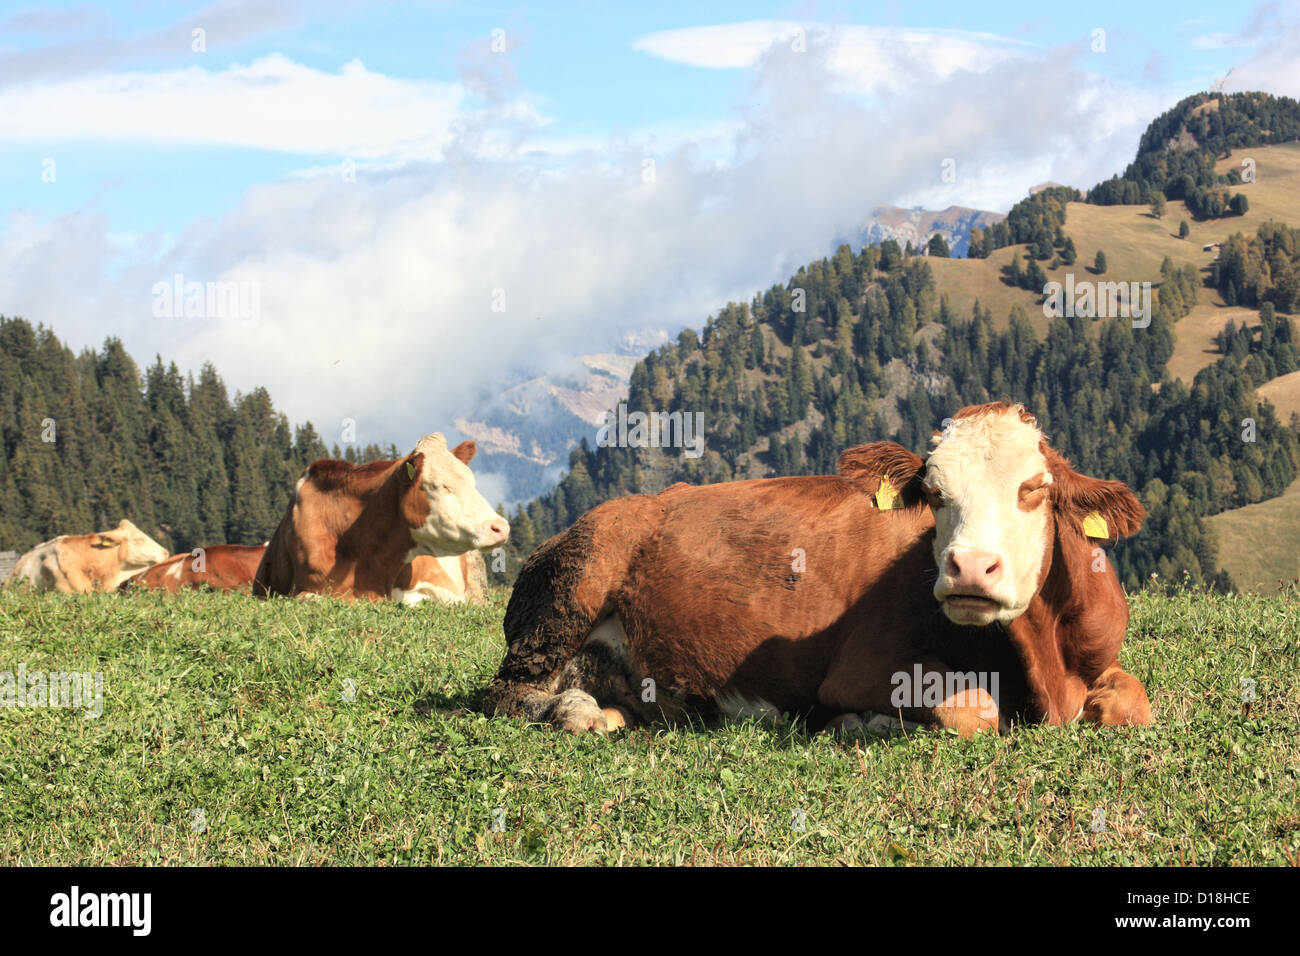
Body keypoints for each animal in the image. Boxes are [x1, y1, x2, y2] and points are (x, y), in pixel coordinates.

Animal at [482, 401, 1151, 737]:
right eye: (934, 494)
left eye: (1034, 488)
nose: (968, 569)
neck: (1045, 666)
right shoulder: (863, 664)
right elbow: (977, 710)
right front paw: (862, 723)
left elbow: (1132, 703)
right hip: (575, 587)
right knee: (508, 692)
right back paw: (575, 713)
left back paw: (619, 712)